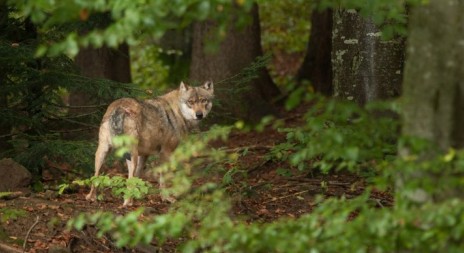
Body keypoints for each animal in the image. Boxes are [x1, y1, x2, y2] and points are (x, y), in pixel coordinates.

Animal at [85, 81, 214, 206]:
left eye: (204, 100)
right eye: (190, 102)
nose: (199, 115)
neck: (177, 111)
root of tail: (119, 107)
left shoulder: (144, 155)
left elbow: (138, 177)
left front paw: (137, 197)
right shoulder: (165, 153)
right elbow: (163, 180)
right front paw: (166, 198)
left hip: (103, 152)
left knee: (95, 177)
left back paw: (91, 198)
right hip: (131, 156)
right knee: (128, 179)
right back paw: (127, 203)